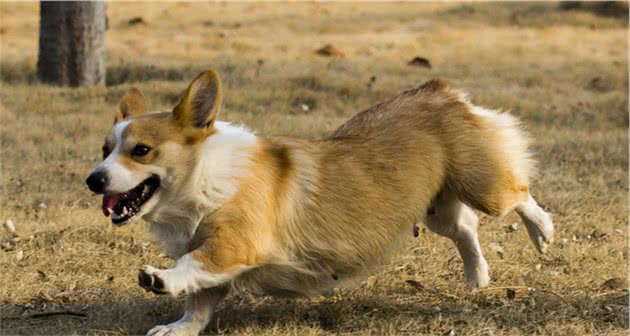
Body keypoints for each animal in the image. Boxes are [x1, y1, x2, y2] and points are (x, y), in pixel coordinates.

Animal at [85, 69, 552, 334]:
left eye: (142, 150)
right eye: (105, 149)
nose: (93, 180)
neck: (203, 178)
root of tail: (438, 90)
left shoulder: (231, 245)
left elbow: (189, 266)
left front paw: (159, 279)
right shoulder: (218, 262)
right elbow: (199, 303)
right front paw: (178, 328)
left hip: (482, 185)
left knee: (519, 195)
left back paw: (542, 232)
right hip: (436, 208)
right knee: (466, 229)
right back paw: (477, 277)